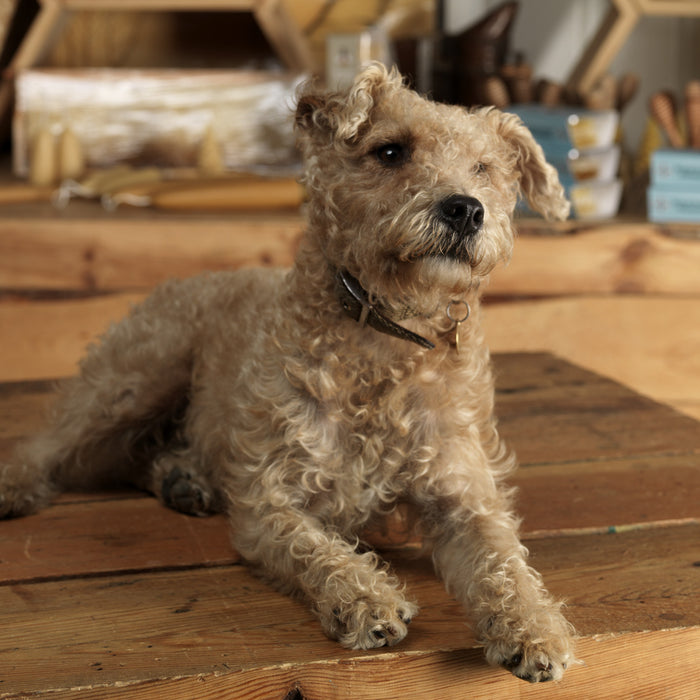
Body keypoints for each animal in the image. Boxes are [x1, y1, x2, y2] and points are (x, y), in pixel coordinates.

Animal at [1, 67, 576, 684]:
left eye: (484, 168)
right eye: (390, 150)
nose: (465, 209)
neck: (382, 336)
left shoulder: (462, 491)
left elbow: (504, 559)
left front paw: (536, 631)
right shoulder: (269, 498)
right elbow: (316, 550)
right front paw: (368, 601)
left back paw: (184, 480)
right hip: (136, 380)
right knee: (52, 443)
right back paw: (18, 487)